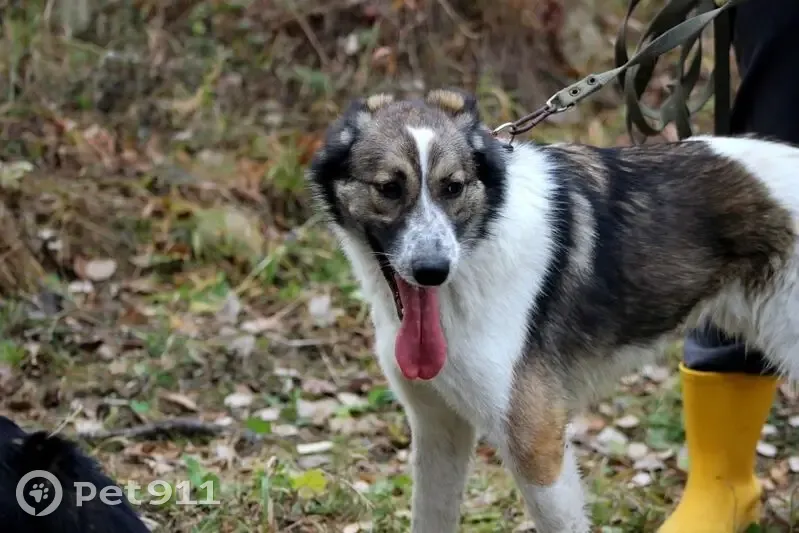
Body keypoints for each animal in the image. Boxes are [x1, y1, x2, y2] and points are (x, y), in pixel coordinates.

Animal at [305, 88, 799, 532]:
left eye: (453, 187)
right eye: (389, 188)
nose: (433, 271)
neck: (481, 242)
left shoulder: (535, 443)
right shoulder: (438, 429)